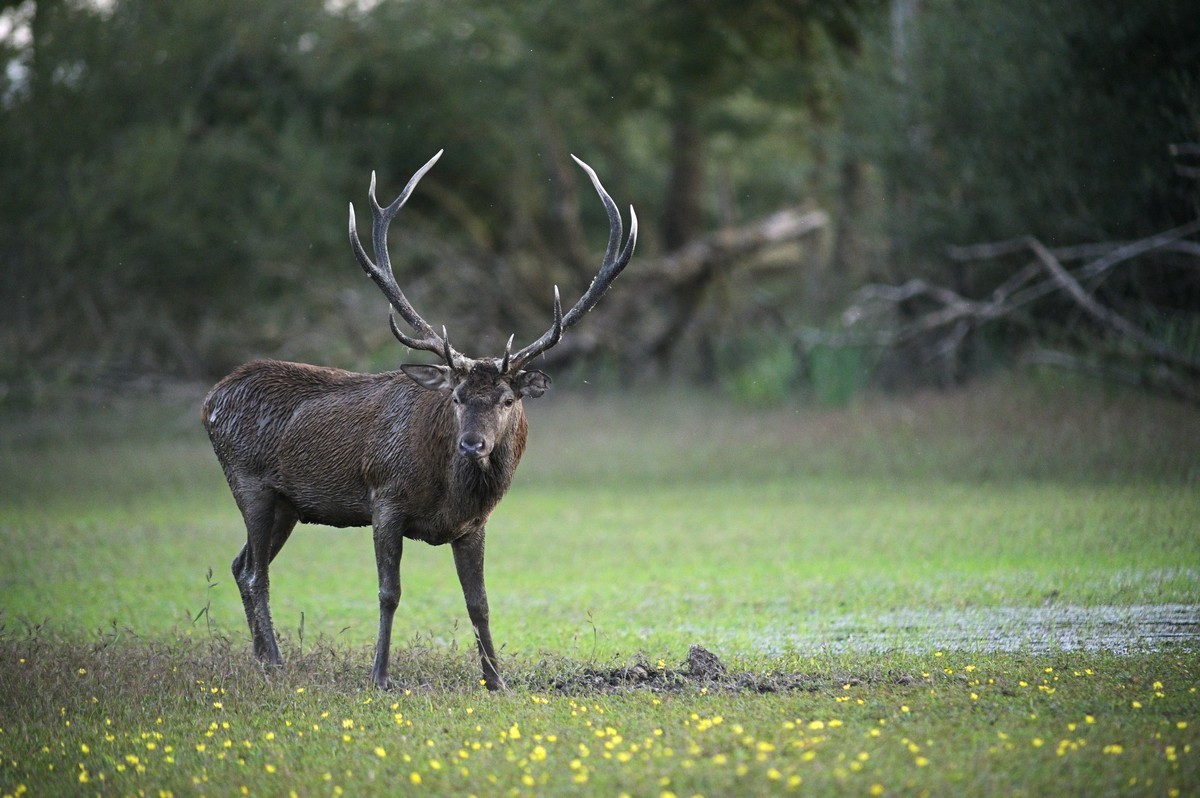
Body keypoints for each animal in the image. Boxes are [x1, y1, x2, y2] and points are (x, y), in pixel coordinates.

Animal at [204, 151, 638, 691]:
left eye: (507, 400)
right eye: (455, 396)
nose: (473, 445)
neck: (448, 491)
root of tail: (210, 398)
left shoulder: (474, 525)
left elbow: (479, 602)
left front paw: (496, 681)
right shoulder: (385, 500)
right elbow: (389, 592)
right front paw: (379, 676)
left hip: (288, 504)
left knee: (240, 563)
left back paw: (264, 659)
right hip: (250, 482)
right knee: (255, 572)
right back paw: (277, 664)